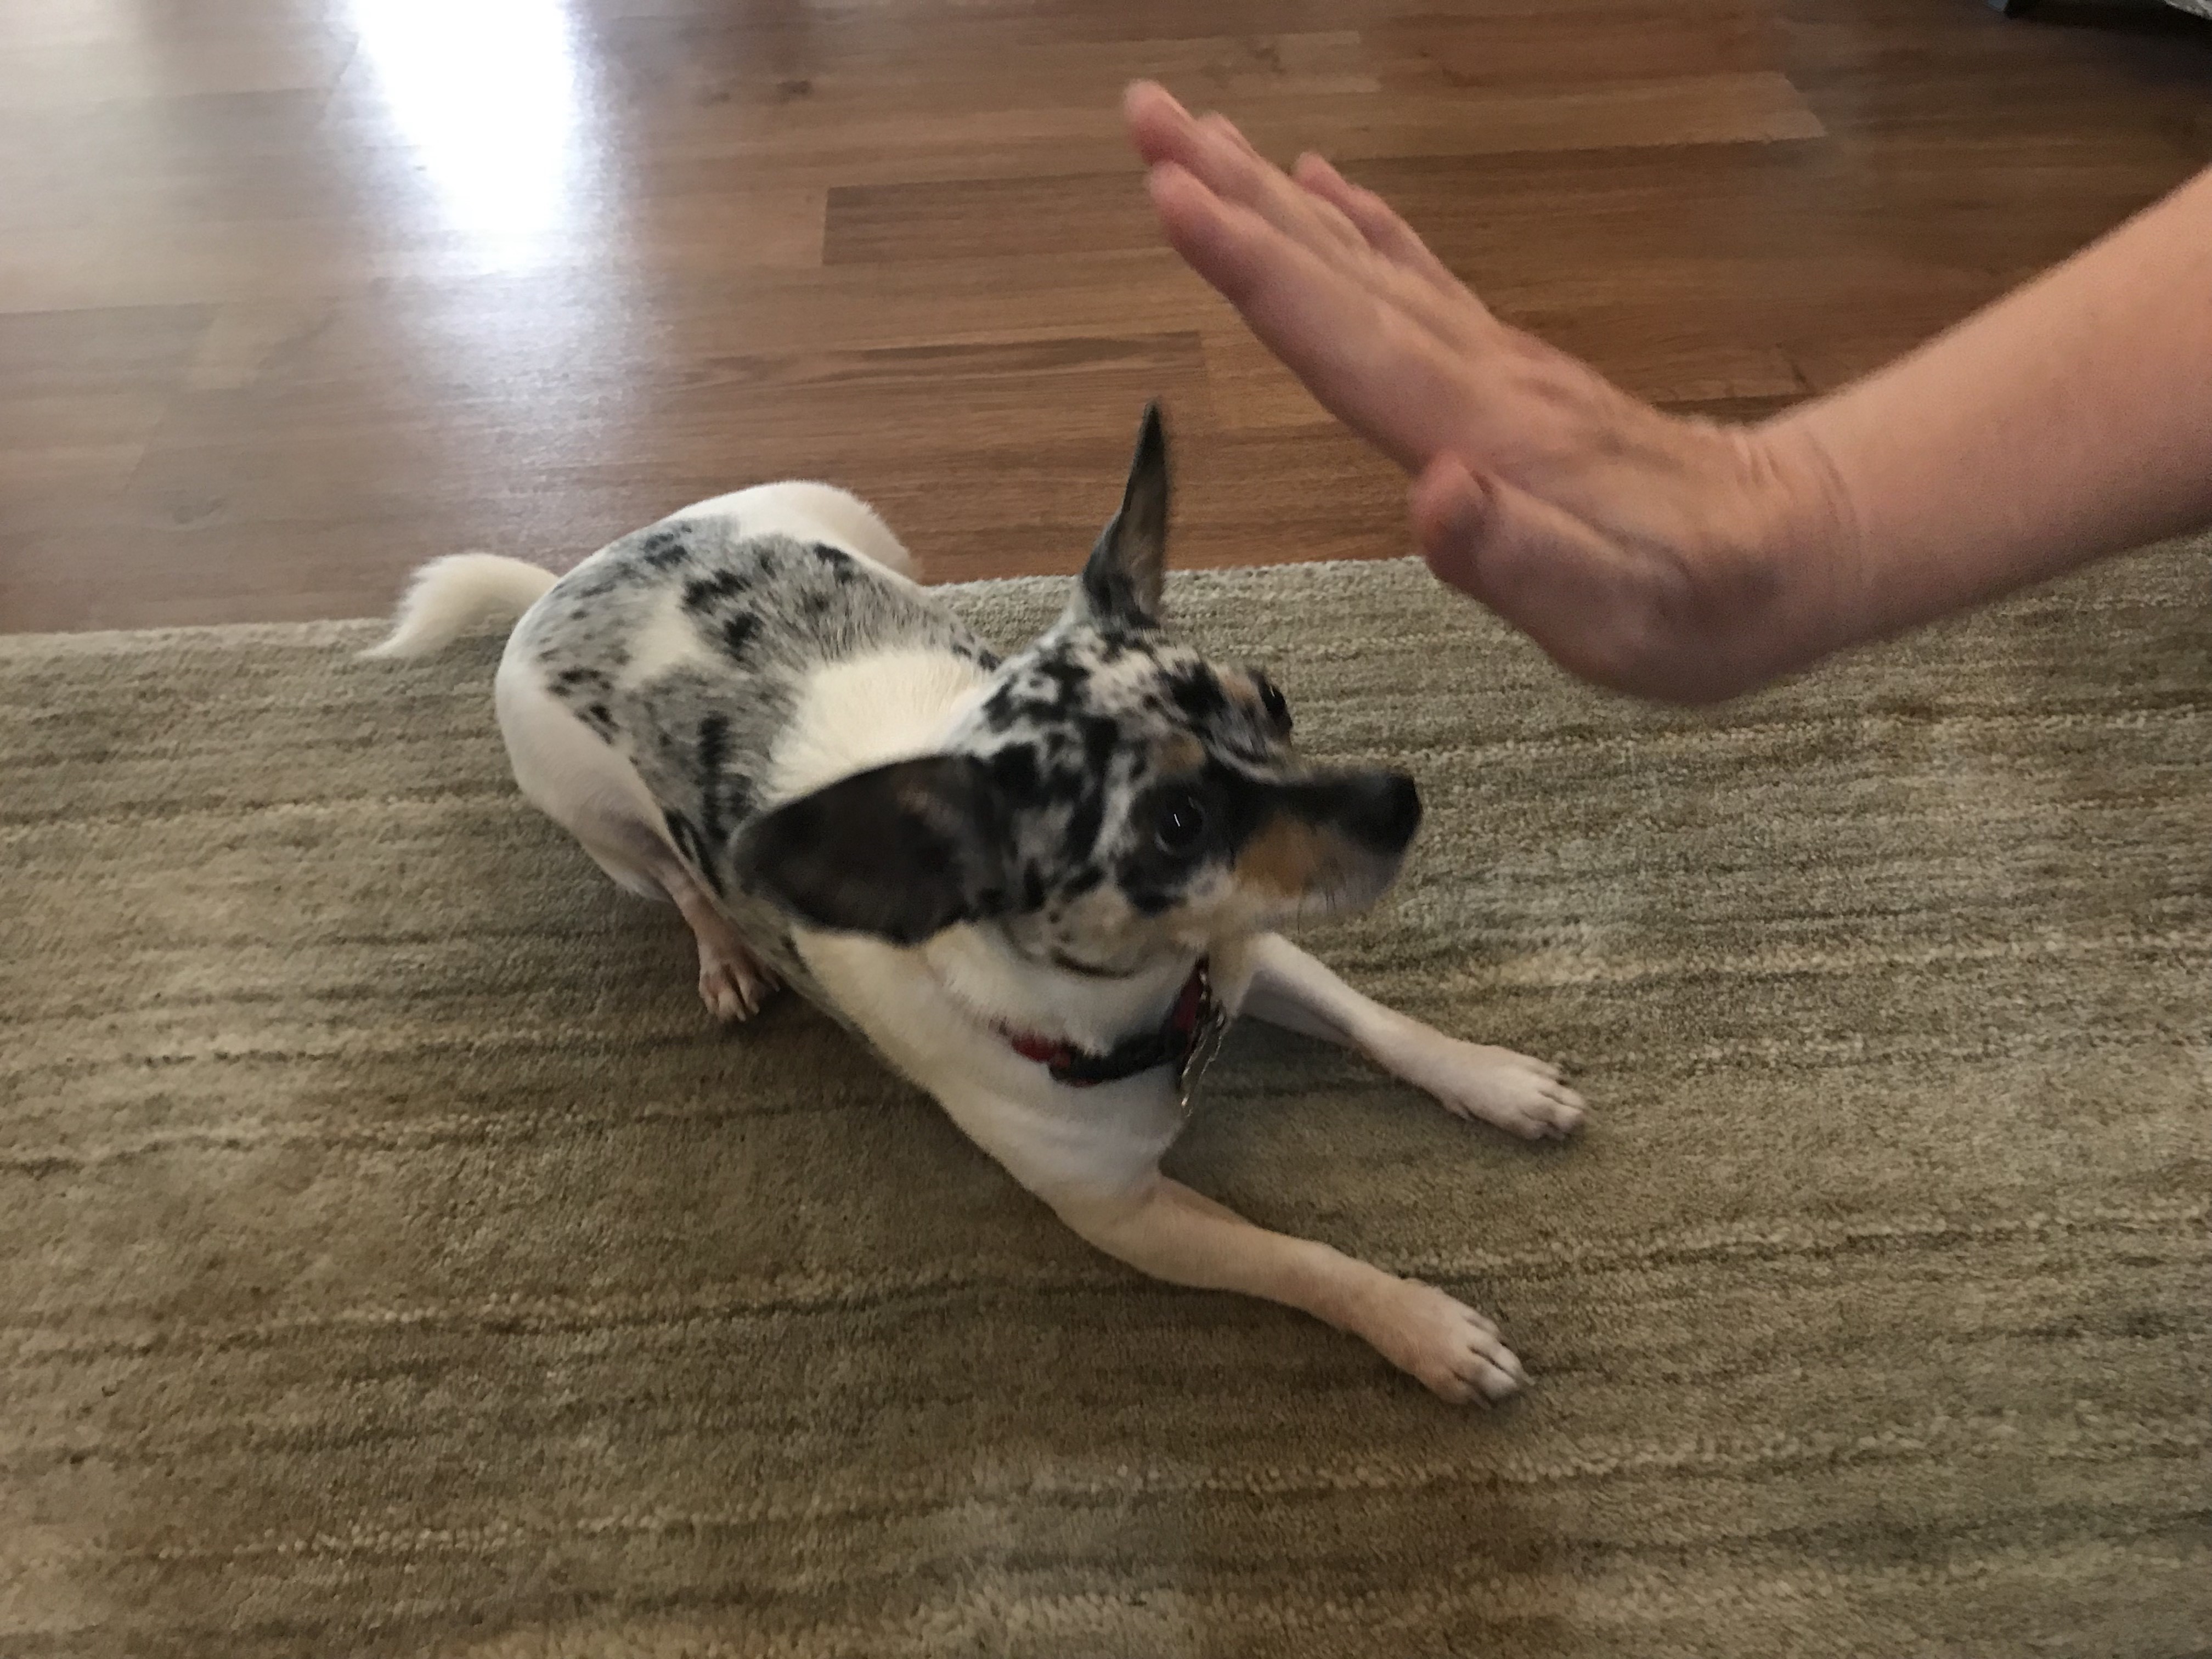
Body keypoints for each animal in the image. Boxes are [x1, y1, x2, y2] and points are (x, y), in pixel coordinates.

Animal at [371, 402, 1583, 1407]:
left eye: (1271, 700)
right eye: (1177, 823)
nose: (1399, 797)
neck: (1151, 1005)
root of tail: (563, 580)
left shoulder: (1250, 949)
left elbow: (1381, 1023)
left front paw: (1494, 1080)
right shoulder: (1129, 1218)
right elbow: (1306, 1261)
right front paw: (1425, 1328)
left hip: (862, 528)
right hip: (592, 818)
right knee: (677, 883)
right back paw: (725, 953)